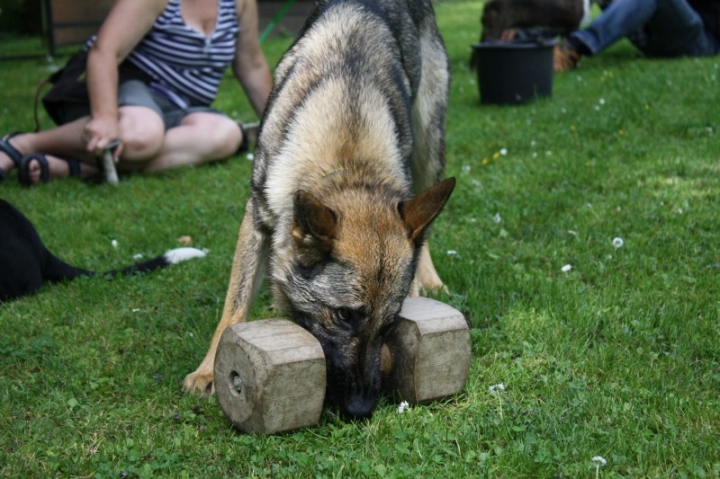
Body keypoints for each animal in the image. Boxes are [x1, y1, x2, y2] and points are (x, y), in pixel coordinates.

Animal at [186, 0, 456, 420]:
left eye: (390, 322)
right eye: (345, 315)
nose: (362, 408)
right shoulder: (257, 218)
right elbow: (234, 304)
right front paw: (208, 370)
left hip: (430, 148)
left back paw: (430, 278)